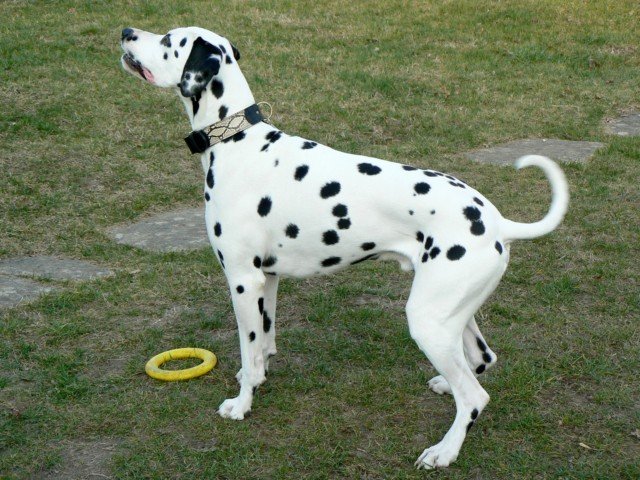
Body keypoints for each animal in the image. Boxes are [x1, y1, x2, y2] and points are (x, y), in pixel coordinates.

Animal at [120, 26, 569, 469]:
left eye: (168, 40)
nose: (126, 31)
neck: (238, 142)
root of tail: (496, 222)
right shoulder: (267, 279)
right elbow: (263, 343)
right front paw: (257, 375)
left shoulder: (243, 281)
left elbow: (248, 350)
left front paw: (242, 404)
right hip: (453, 316)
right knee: (481, 361)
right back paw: (446, 385)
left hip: (427, 320)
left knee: (475, 395)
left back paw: (444, 451)